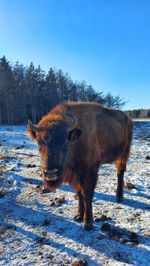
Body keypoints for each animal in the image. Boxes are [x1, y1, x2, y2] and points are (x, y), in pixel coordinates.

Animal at [27, 102, 132, 231]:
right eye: (39, 143)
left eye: (65, 142)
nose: (51, 172)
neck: (77, 142)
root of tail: (128, 118)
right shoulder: (76, 176)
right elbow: (79, 194)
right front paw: (78, 216)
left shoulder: (90, 172)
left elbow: (87, 195)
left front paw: (88, 223)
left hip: (123, 155)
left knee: (120, 174)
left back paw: (119, 197)